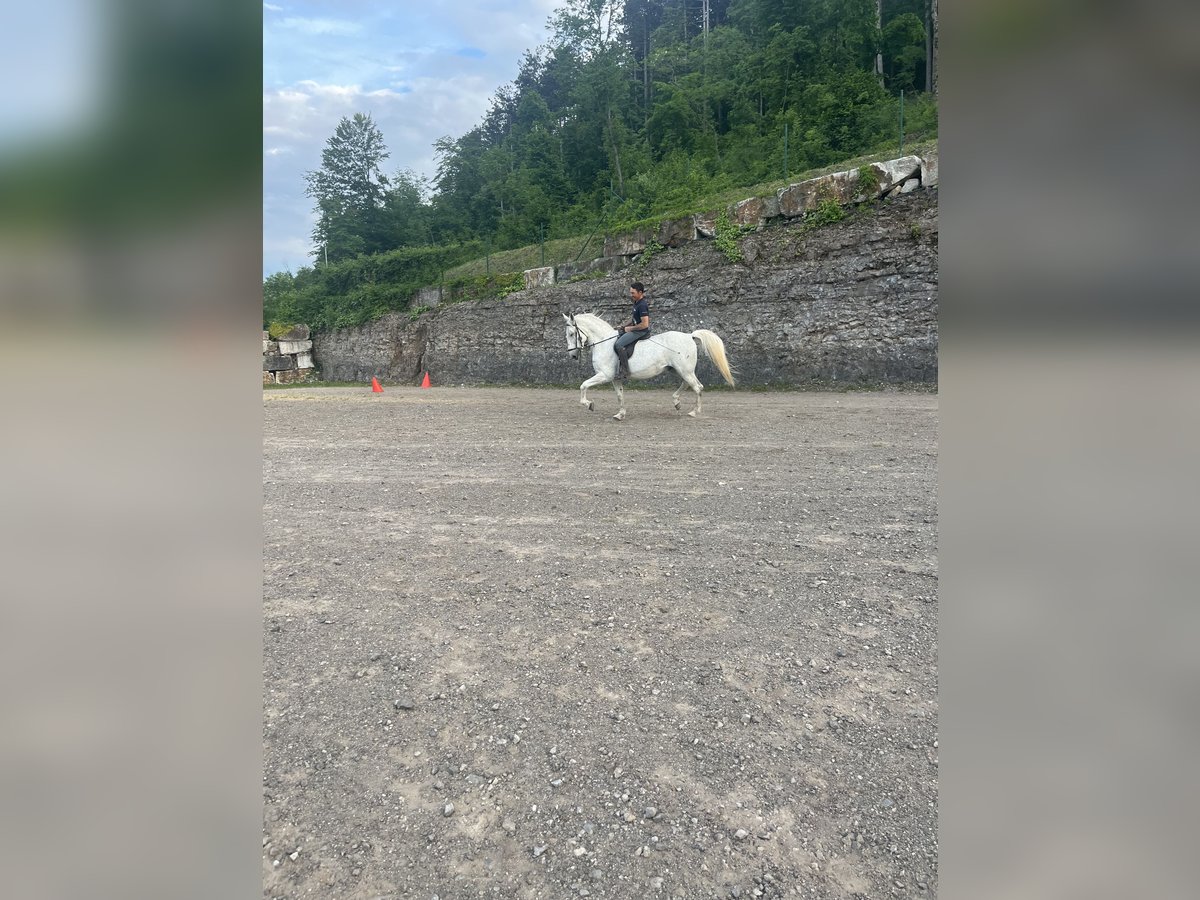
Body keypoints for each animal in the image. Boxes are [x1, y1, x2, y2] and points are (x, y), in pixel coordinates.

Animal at [566, 312, 734, 422]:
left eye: (572, 334)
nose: (572, 355)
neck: (604, 342)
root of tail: (689, 336)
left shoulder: (604, 375)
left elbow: (583, 385)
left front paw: (589, 404)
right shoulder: (615, 378)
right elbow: (620, 396)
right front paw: (620, 414)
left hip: (684, 370)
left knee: (698, 387)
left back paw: (693, 412)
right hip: (678, 370)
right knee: (688, 384)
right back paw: (677, 402)